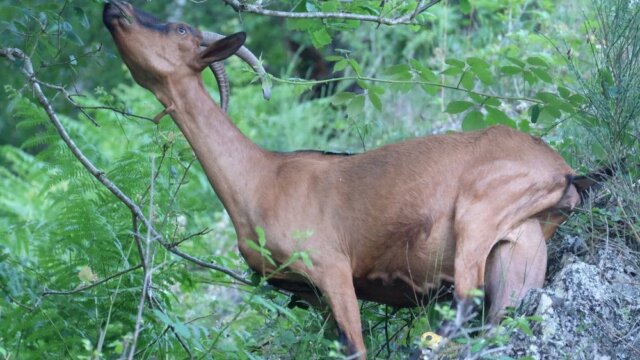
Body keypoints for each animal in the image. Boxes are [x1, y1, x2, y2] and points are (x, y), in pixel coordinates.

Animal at [104, 2, 580, 358]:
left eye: (180, 28)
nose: (115, 7)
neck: (260, 178)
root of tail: (562, 170)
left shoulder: (332, 267)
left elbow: (356, 348)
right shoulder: (309, 293)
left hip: (477, 217)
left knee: (466, 307)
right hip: (520, 243)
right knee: (502, 318)